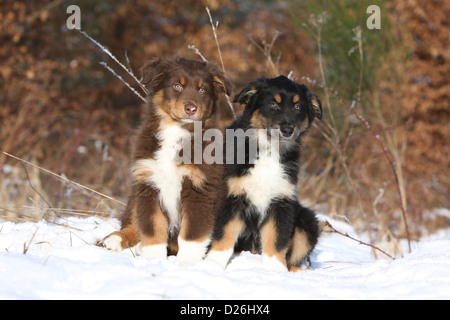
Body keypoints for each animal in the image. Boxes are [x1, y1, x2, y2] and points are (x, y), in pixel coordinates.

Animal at [102, 56, 232, 264]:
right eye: (177, 86)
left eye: (202, 90)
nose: (191, 108)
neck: (175, 131)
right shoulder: (148, 184)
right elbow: (152, 229)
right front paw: (154, 258)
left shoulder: (200, 189)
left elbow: (192, 234)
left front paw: (186, 262)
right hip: (135, 194)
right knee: (132, 223)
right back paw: (115, 239)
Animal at [206, 76, 322, 272]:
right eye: (273, 104)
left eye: (298, 107)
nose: (287, 130)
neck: (269, 150)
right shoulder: (232, 196)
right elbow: (225, 235)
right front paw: (213, 264)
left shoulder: (281, 201)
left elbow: (276, 240)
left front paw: (276, 271)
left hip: (307, 221)